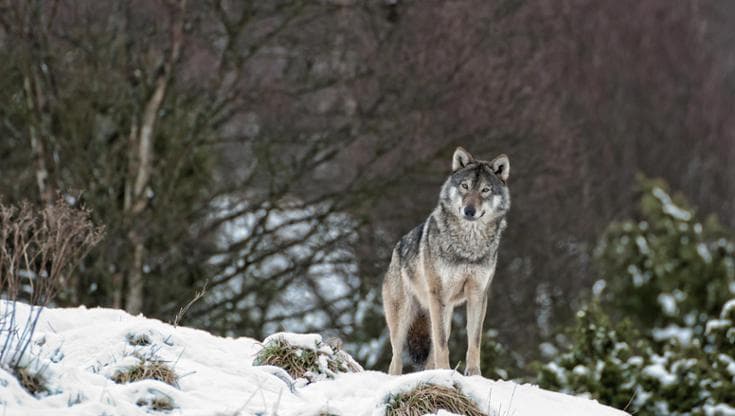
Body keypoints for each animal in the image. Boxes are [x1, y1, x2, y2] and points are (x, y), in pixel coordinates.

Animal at [382, 147, 508, 376]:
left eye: (485, 190)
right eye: (465, 186)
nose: (469, 211)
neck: (469, 245)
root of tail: (396, 249)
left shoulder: (478, 294)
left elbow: (474, 340)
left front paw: (474, 374)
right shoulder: (437, 294)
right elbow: (441, 343)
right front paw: (445, 370)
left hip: (444, 312)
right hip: (404, 318)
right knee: (395, 359)